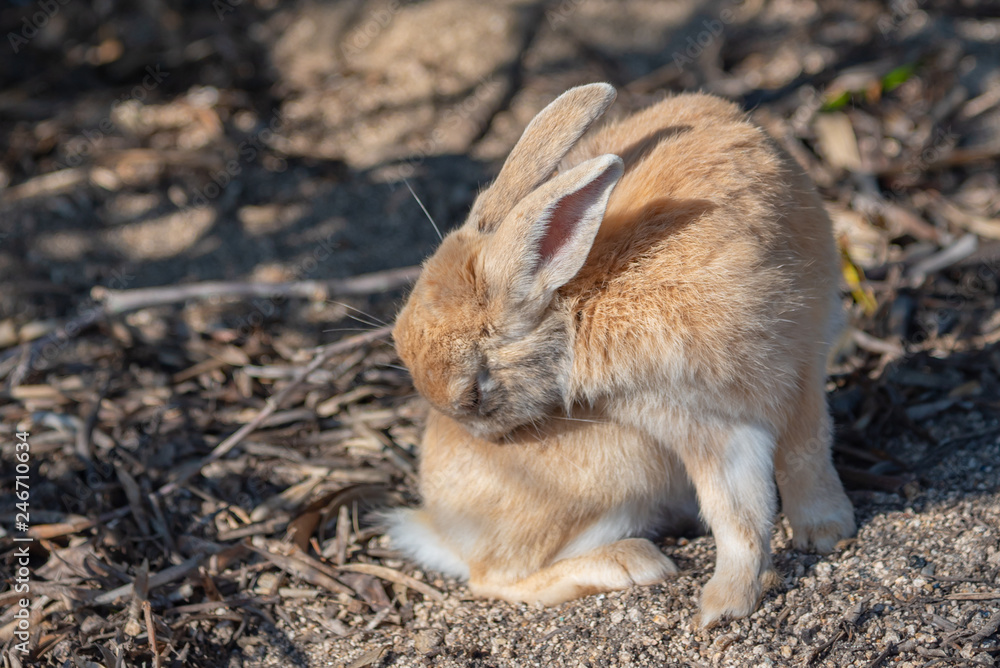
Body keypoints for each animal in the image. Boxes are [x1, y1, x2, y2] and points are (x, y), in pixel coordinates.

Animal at [388, 83, 856, 626]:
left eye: (473, 398)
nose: (489, 442)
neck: (577, 304)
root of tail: (440, 528)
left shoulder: (796, 369)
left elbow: (799, 460)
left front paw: (823, 536)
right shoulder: (702, 422)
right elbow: (739, 513)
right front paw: (725, 606)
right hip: (623, 470)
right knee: (492, 579)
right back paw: (634, 563)